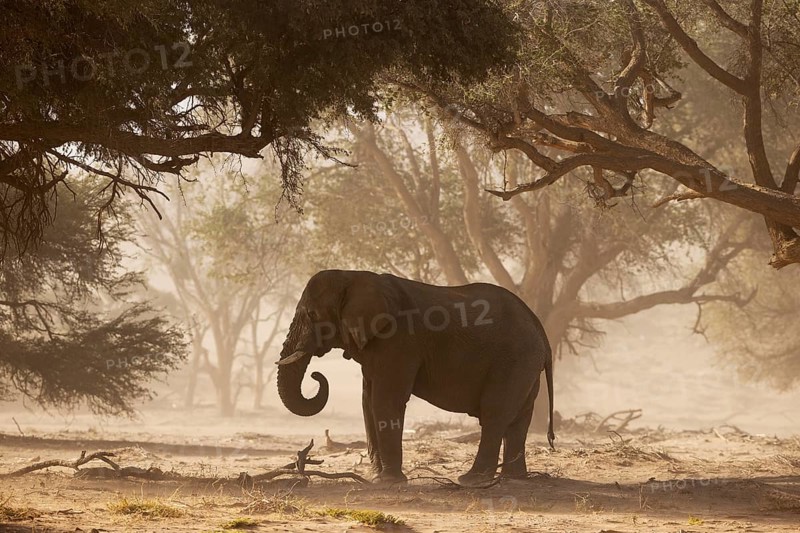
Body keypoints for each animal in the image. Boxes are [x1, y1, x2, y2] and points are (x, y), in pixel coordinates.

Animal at [276, 269, 554, 486]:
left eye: (312, 315)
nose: (316, 374)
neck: (354, 276)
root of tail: (538, 324)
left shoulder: (398, 340)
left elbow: (385, 400)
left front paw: (387, 482)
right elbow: (368, 402)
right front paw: (377, 478)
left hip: (514, 359)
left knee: (495, 414)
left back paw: (471, 480)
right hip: (526, 364)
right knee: (519, 418)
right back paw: (513, 479)